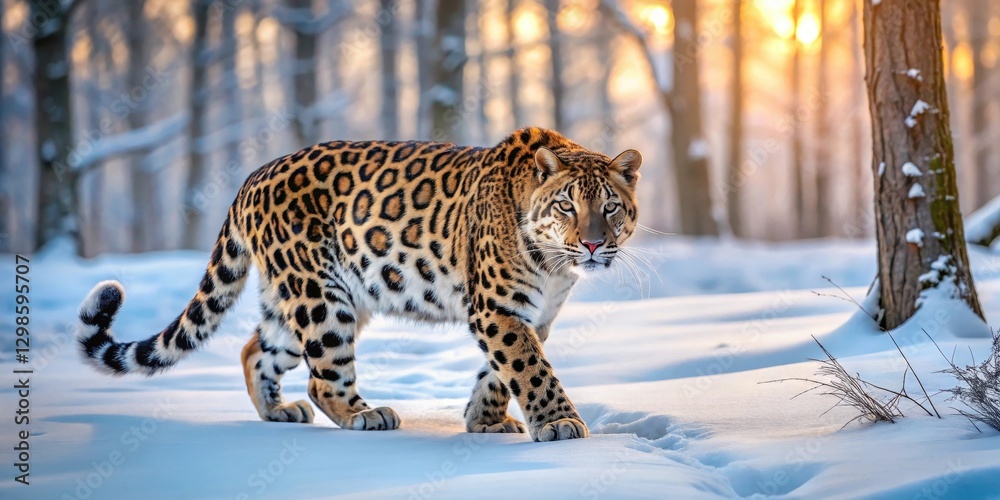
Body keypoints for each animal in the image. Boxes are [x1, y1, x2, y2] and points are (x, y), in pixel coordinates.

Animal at [76, 126, 642, 442]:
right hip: (322, 299)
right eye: (566, 205)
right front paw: (559, 424)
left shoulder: (532, 316)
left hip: (304, 300)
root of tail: (252, 177)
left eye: (611, 206)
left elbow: (502, 372)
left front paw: (483, 420)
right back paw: (366, 415)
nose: (593, 244)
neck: (556, 266)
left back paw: (277, 412)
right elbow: (529, 369)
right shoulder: (499, 309)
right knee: (323, 376)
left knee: (254, 349)